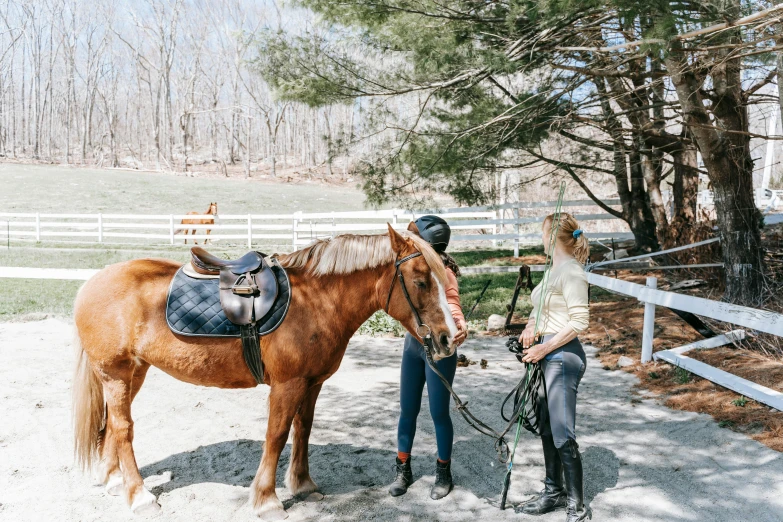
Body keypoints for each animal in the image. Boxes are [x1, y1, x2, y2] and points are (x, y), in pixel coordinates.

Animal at [72, 222, 460, 516]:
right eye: (420, 280)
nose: (448, 338)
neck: (317, 301)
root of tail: (92, 282)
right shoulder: (287, 384)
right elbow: (276, 434)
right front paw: (266, 499)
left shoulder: (312, 383)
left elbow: (303, 429)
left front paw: (303, 485)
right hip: (116, 374)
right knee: (123, 429)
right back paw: (138, 496)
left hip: (132, 374)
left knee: (113, 424)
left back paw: (114, 481)